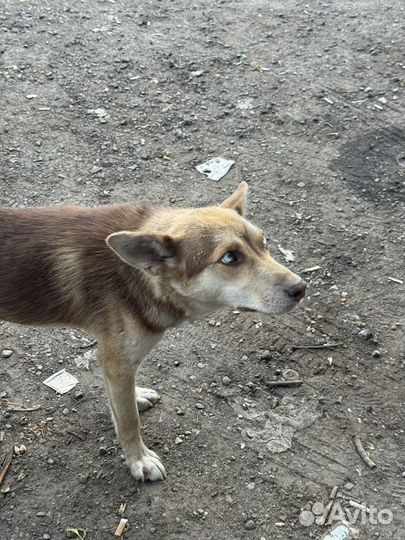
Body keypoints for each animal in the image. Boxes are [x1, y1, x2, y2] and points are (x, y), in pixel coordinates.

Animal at [0, 182, 304, 480]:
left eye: (264, 243)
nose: (301, 288)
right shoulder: (117, 360)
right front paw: (138, 460)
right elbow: (128, 421)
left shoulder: (118, 364)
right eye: (229, 258)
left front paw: (136, 397)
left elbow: (122, 403)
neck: (139, 275)